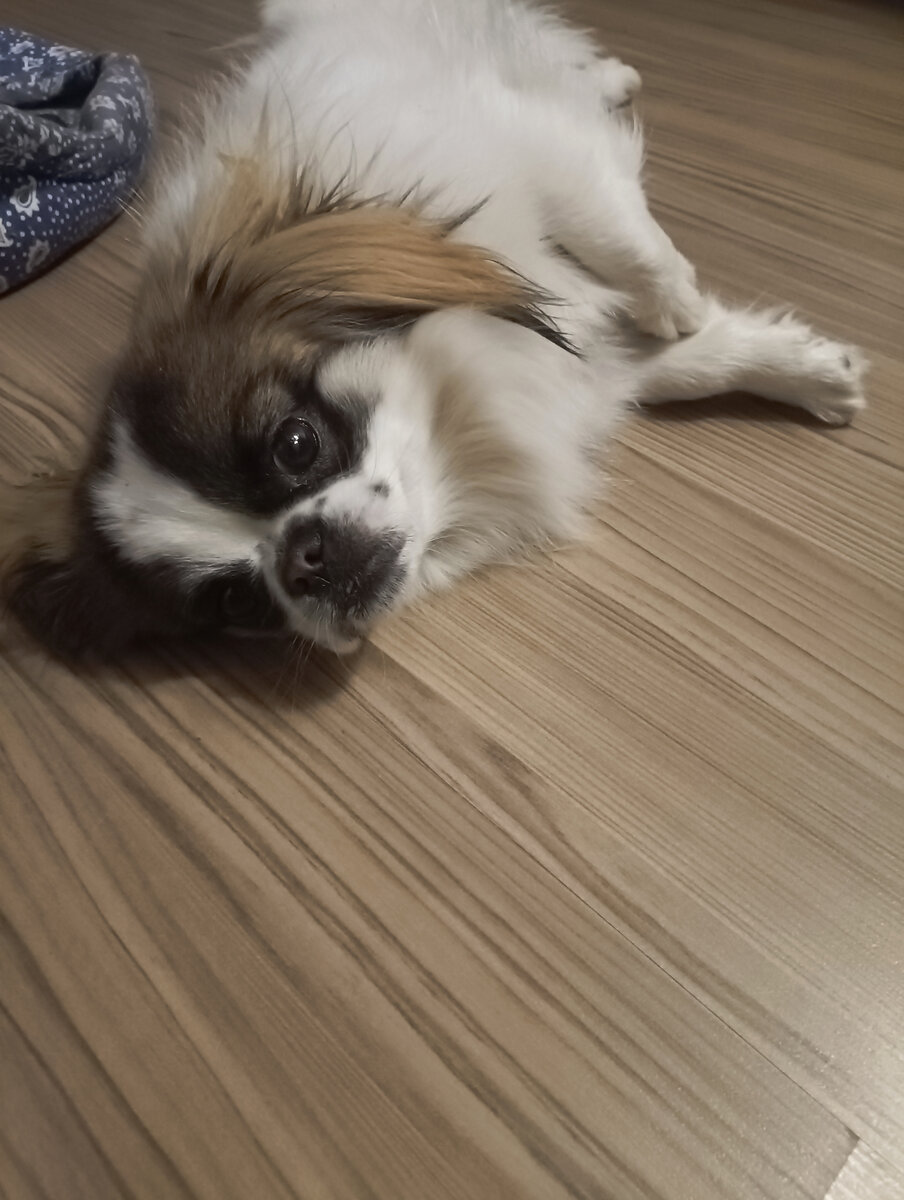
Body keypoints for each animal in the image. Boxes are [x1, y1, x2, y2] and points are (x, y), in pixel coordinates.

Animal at [1, 0, 867, 659]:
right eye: (237, 603)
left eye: (294, 444)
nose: (304, 557)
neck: (473, 410)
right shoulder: (574, 372)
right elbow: (679, 366)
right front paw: (814, 372)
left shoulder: (536, 159)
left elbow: (622, 240)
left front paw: (677, 302)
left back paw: (614, 80)